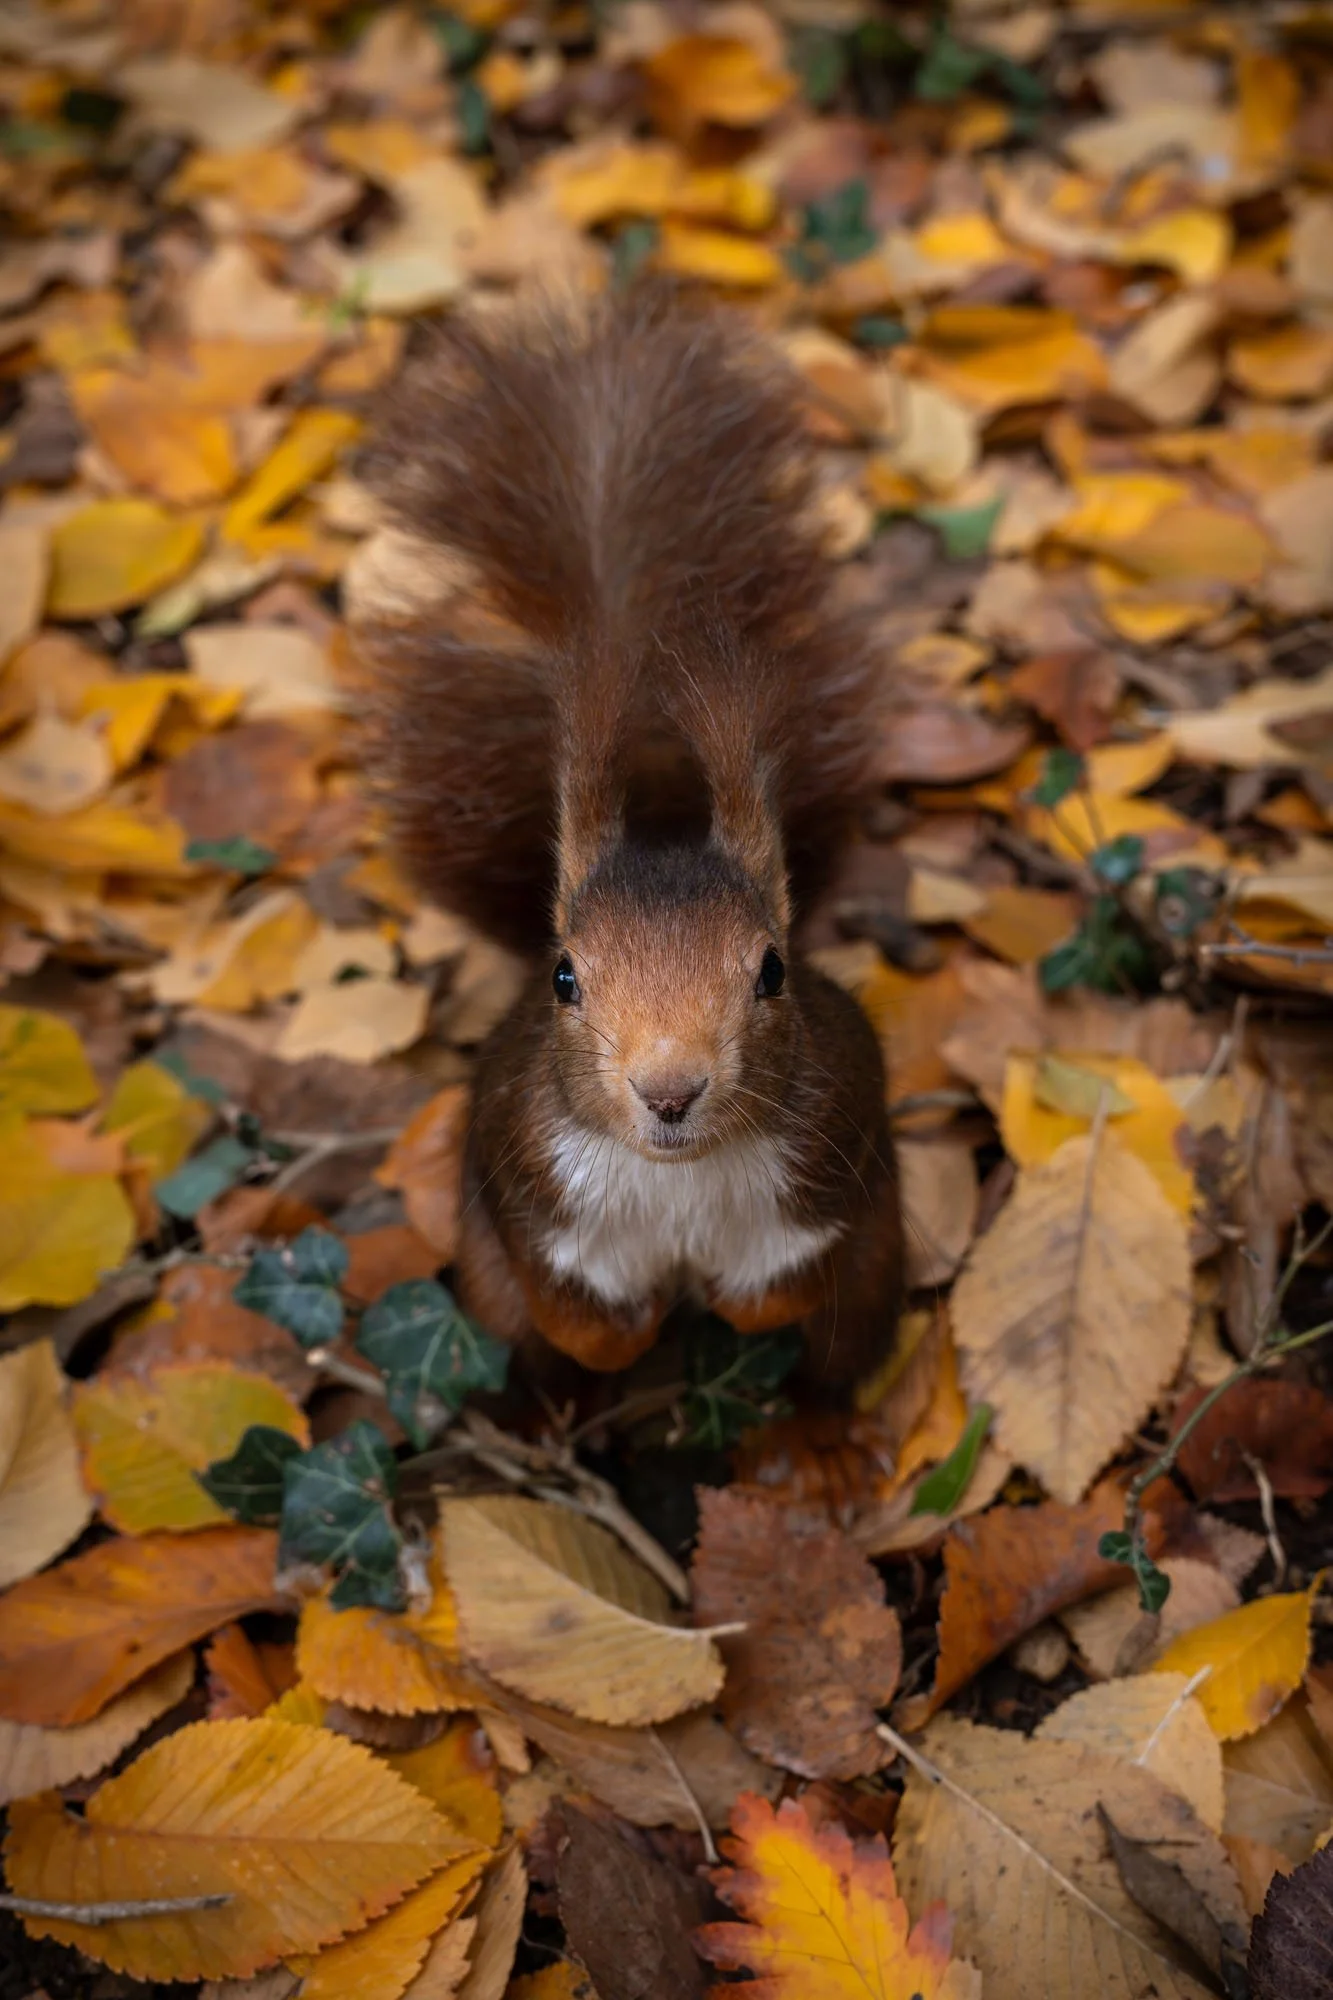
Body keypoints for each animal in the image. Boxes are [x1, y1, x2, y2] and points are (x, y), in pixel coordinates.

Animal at [360, 283, 902, 1381]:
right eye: (565, 976)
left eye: (772, 971)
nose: (669, 1090)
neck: (678, 1181)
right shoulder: (534, 1200)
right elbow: (571, 1311)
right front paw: (633, 1329)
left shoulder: (828, 1175)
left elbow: (786, 1288)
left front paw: (725, 1303)